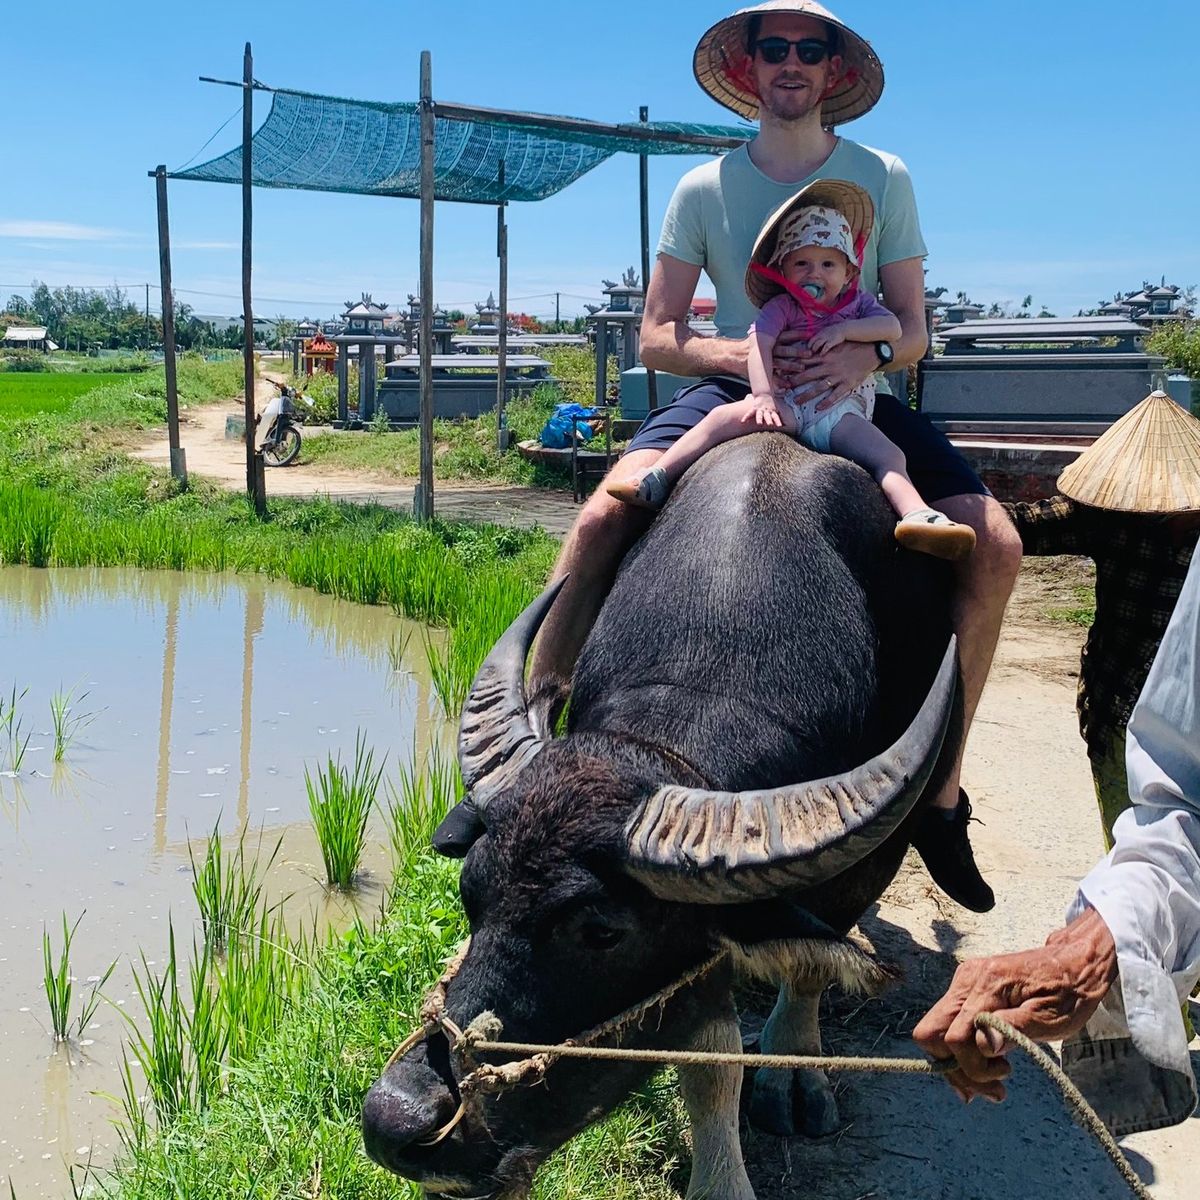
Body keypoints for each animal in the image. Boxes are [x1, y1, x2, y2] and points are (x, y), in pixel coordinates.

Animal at [363, 434, 961, 1199]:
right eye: (471, 894)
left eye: (601, 932)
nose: (396, 1119)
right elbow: (708, 1048)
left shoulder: (864, 868)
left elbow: (798, 977)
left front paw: (789, 1080)